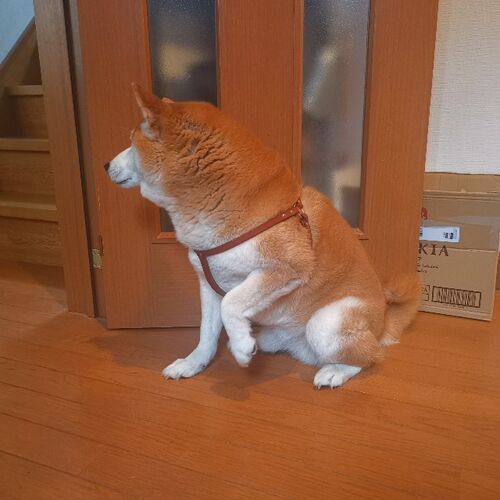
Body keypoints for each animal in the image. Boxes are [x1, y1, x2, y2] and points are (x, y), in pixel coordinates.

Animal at [105, 83, 420, 388]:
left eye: (131, 142)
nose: (105, 165)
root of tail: (382, 324)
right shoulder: (208, 284)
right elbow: (206, 332)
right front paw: (194, 364)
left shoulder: (286, 267)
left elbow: (232, 302)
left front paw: (241, 346)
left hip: (327, 322)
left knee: (370, 356)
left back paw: (334, 372)